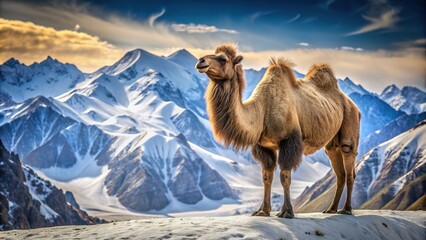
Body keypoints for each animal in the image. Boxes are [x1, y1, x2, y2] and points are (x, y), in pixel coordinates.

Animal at [196, 44, 360, 218]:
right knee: (339, 171)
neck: (262, 111)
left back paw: (346, 209)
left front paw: (286, 211)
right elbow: (266, 176)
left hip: (350, 125)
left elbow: (284, 176)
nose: (200, 61)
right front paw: (262, 211)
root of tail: (353, 105)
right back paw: (331, 209)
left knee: (349, 167)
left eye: (223, 59)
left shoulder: (289, 140)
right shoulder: (264, 146)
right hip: (331, 143)